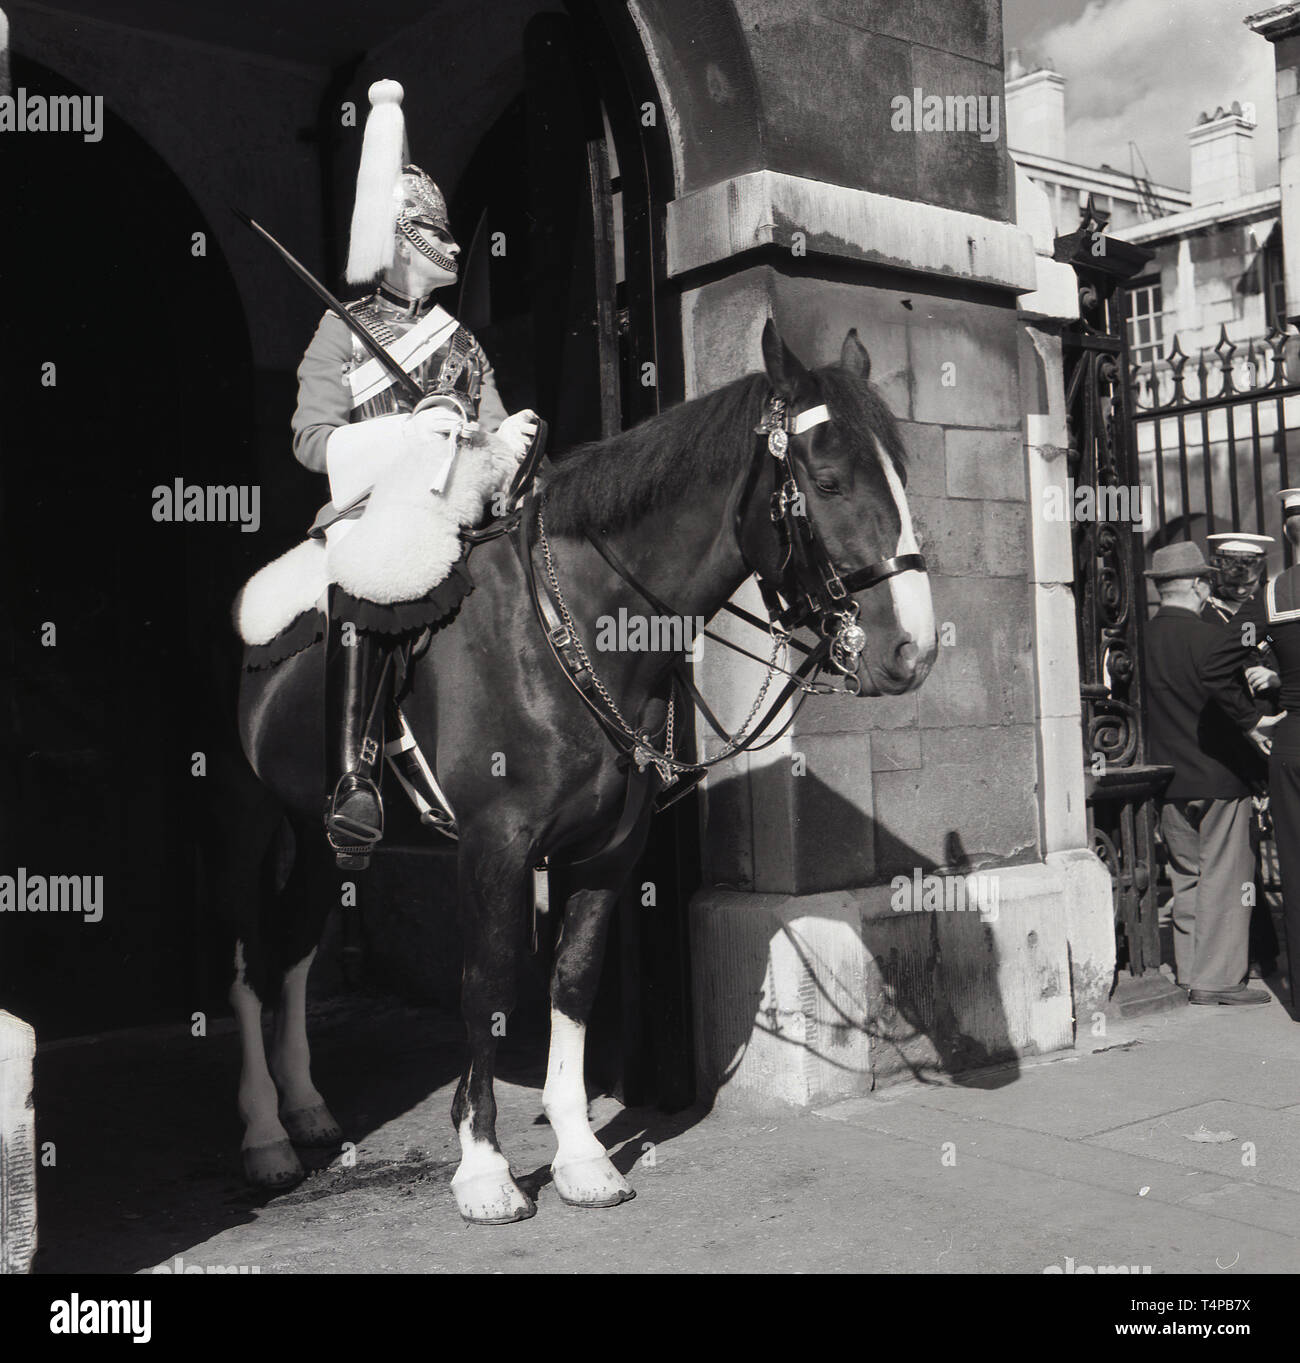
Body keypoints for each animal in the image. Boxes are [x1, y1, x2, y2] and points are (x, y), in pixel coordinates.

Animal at [224, 316, 932, 1226]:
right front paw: (484, 1165)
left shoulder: (606, 849)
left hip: (318, 841)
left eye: (902, 477)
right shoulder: (494, 846)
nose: (913, 648)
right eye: (831, 478)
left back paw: (307, 1107)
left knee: (293, 955)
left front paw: (581, 1153)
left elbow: (573, 980)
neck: (575, 625)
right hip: (251, 827)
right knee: (249, 963)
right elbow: (488, 983)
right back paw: (263, 1135)